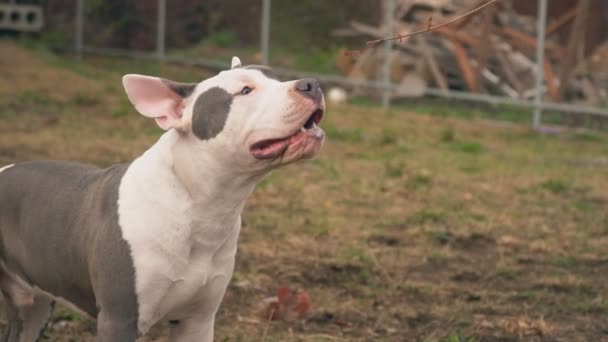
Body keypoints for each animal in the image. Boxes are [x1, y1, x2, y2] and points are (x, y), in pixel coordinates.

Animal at [0, 57, 326, 340]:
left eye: (276, 77)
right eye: (245, 90)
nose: (311, 84)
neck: (201, 206)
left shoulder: (198, 321)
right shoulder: (119, 320)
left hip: (34, 306)